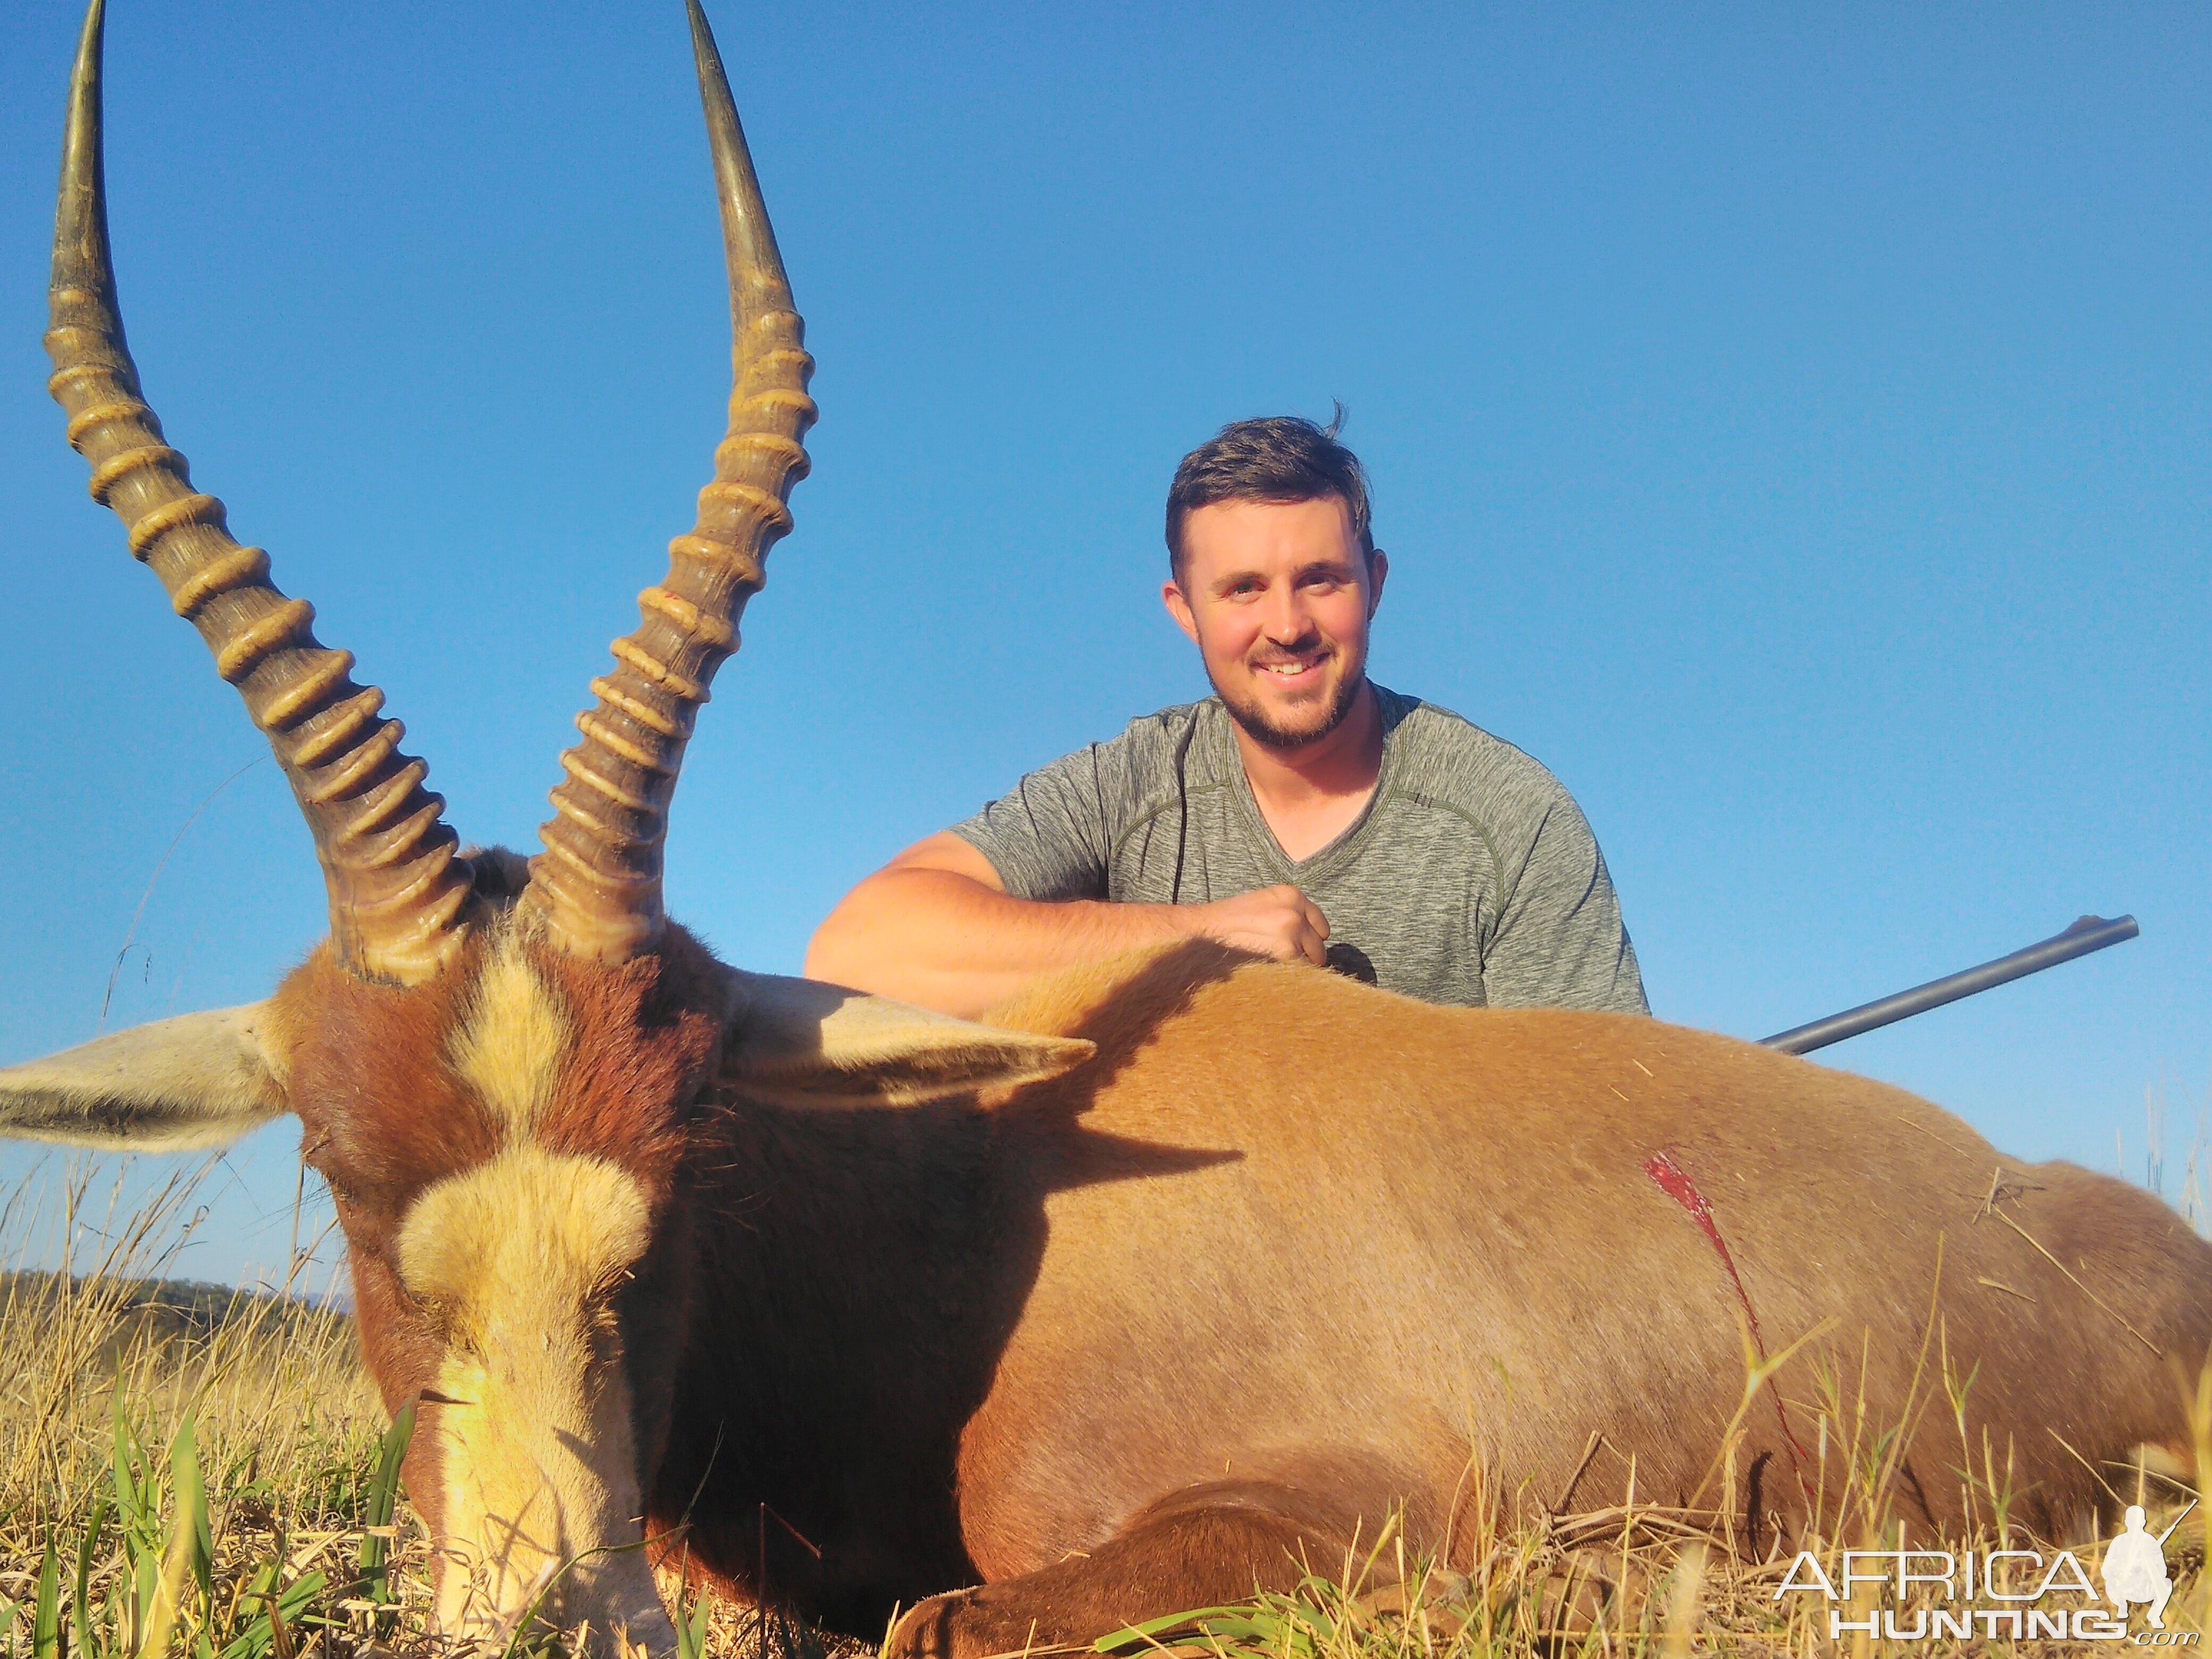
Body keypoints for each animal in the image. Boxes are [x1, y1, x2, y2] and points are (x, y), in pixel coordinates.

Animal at [4, 3, 2212, 1659]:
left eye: (689, 1152)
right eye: (343, 1173)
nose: (555, 1617)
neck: (972, 1202)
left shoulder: (1345, 1517)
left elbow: (945, 1622)